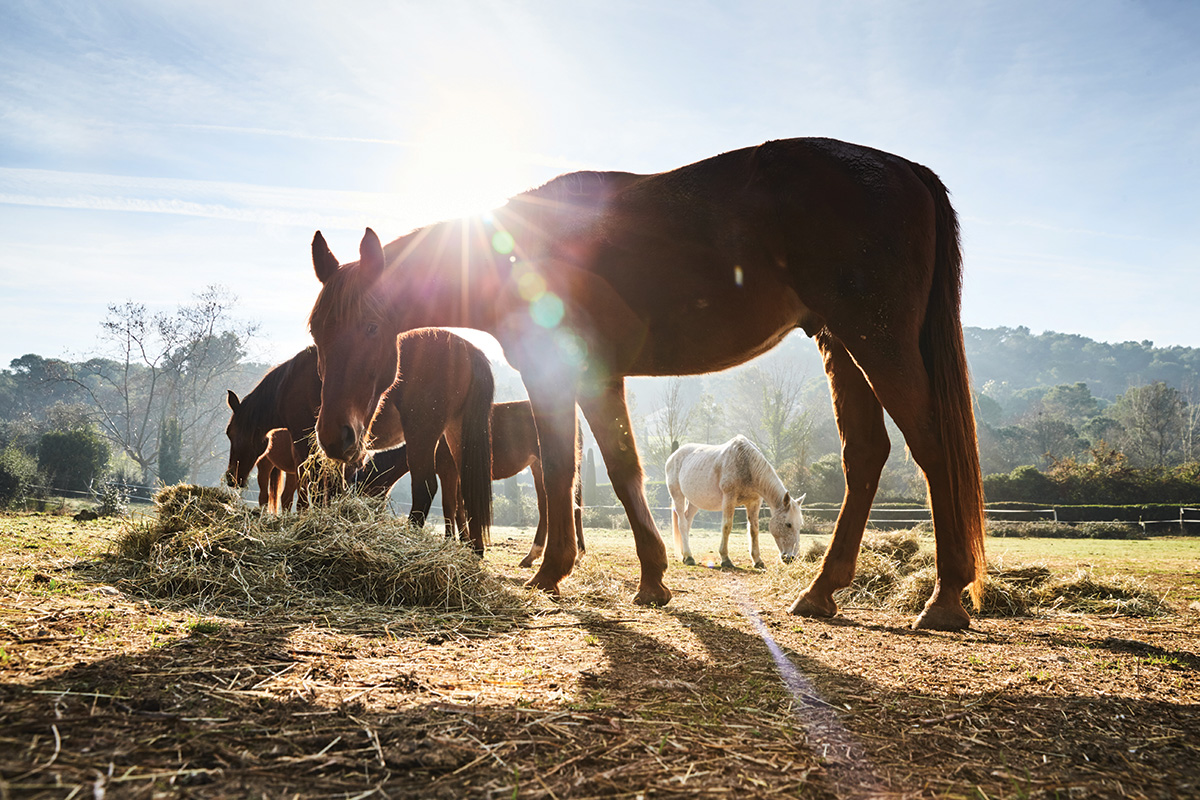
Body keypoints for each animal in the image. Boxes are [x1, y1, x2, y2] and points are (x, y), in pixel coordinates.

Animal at [369, 398, 585, 563]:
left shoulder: (448, 471)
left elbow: (450, 505)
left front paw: (452, 541)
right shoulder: (457, 475)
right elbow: (460, 508)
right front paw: (466, 542)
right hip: (538, 467)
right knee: (553, 506)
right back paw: (538, 555)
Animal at [667, 438, 806, 568]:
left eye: (800, 525)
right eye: (788, 524)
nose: (792, 557)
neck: (746, 463)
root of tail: (673, 455)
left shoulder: (754, 503)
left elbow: (754, 529)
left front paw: (757, 560)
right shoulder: (729, 499)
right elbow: (727, 526)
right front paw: (725, 559)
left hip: (695, 502)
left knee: (687, 521)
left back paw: (685, 555)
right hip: (678, 496)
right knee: (682, 524)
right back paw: (689, 557)